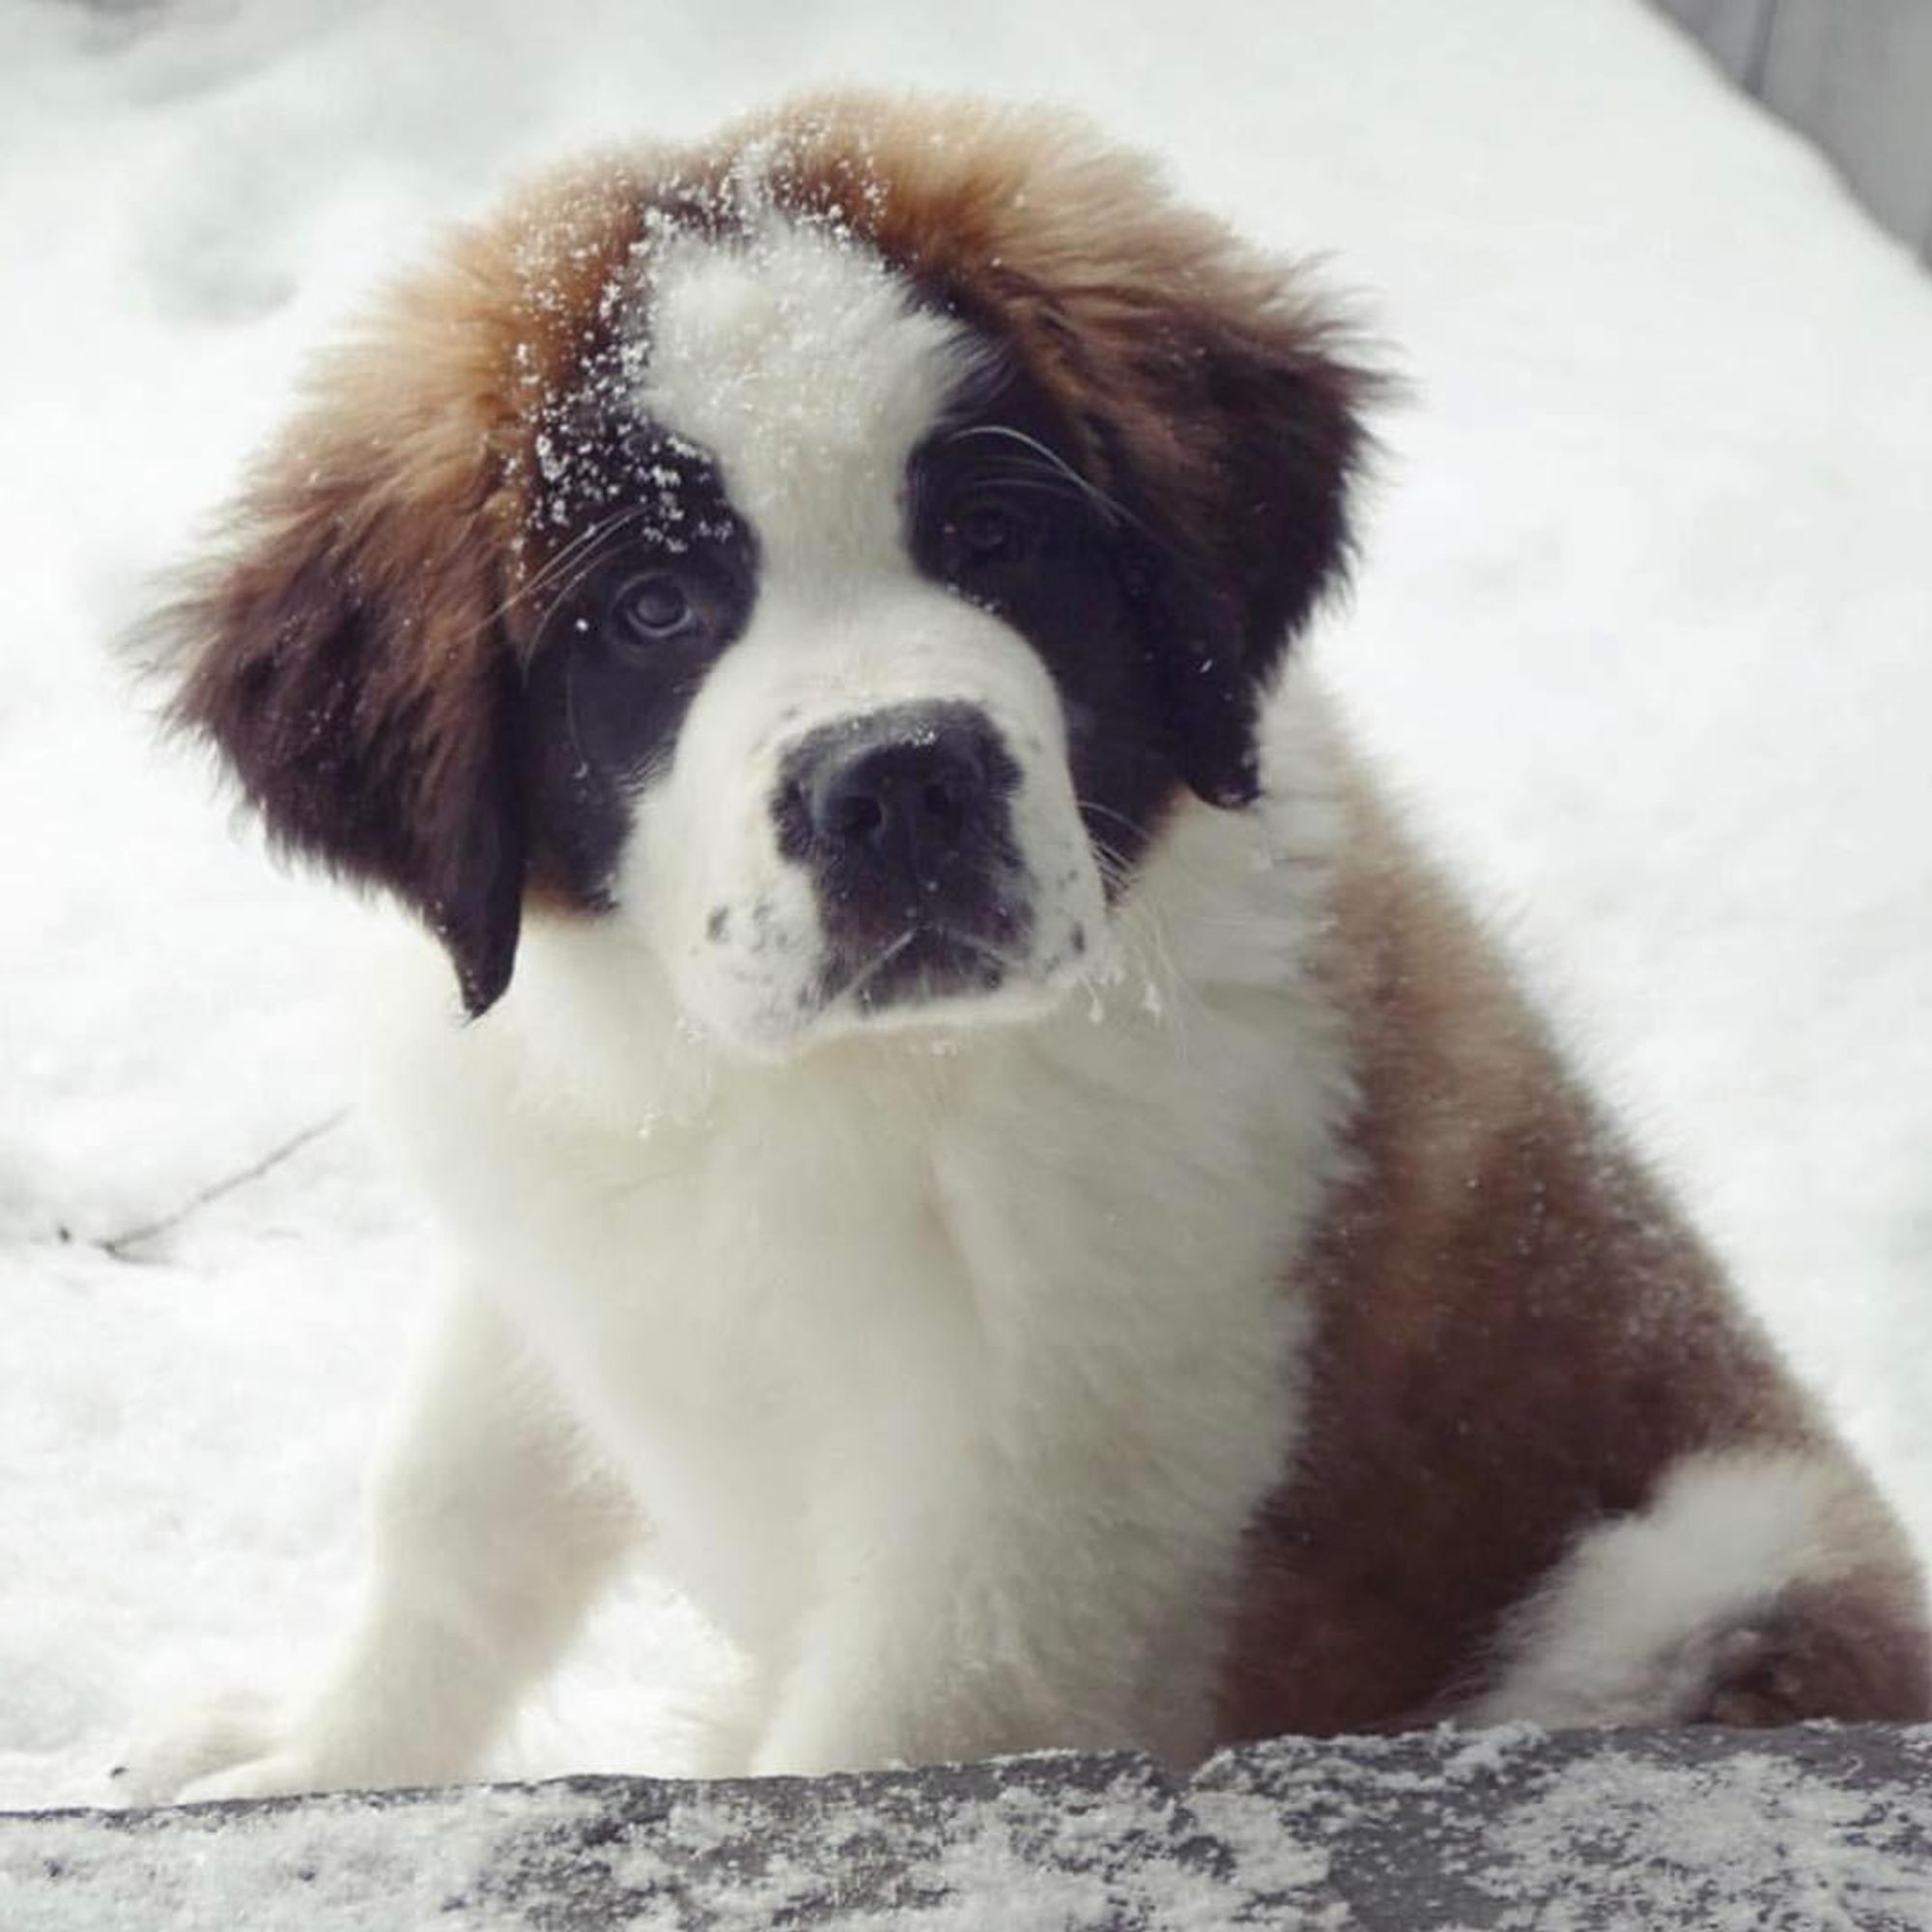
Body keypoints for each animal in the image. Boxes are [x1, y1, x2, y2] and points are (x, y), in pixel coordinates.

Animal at [128, 94, 1924, 1793]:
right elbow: (450, 1521)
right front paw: (312, 1762)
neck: (786, 1094)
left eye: (993, 538)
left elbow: (843, 1761)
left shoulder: (1015, 1545)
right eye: (649, 609)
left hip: (1719, 1566)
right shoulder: (556, 1240)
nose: (902, 781)